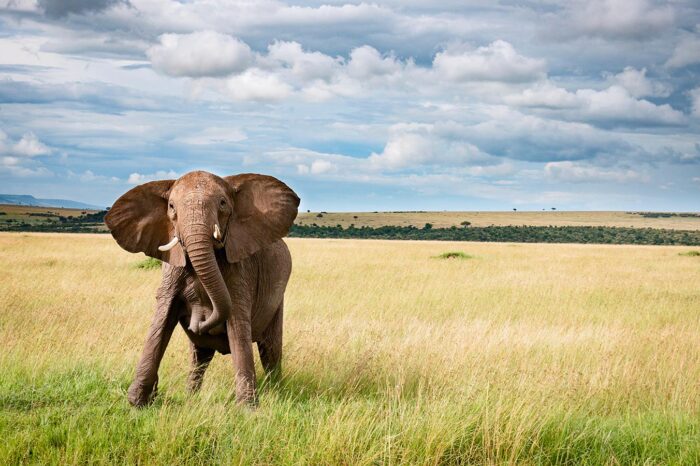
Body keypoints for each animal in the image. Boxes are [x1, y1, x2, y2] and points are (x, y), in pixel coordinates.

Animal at [105, 170, 300, 407]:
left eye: (223, 203)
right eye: (171, 206)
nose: (198, 320)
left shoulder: (240, 270)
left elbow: (237, 325)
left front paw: (248, 409)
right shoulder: (172, 267)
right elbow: (162, 319)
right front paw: (137, 403)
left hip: (278, 299)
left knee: (270, 350)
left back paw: (277, 394)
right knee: (200, 356)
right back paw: (191, 396)